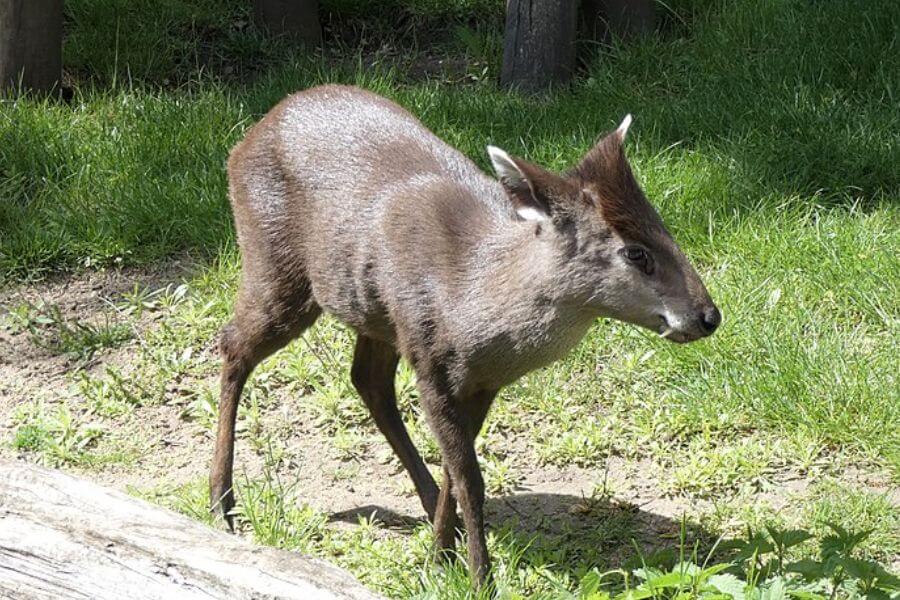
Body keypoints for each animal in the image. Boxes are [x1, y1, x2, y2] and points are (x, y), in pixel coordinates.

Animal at [207, 83, 720, 584]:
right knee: (234, 344)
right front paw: (476, 576)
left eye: (663, 226)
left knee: (367, 380)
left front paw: (440, 554)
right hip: (276, 263)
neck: (473, 300)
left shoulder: (480, 380)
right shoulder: (431, 360)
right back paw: (221, 504)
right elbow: (471, 477)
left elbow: (458, 468)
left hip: (372, 308)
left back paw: (424, 500)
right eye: (635, 252)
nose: (708, 316)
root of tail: (244, 141)